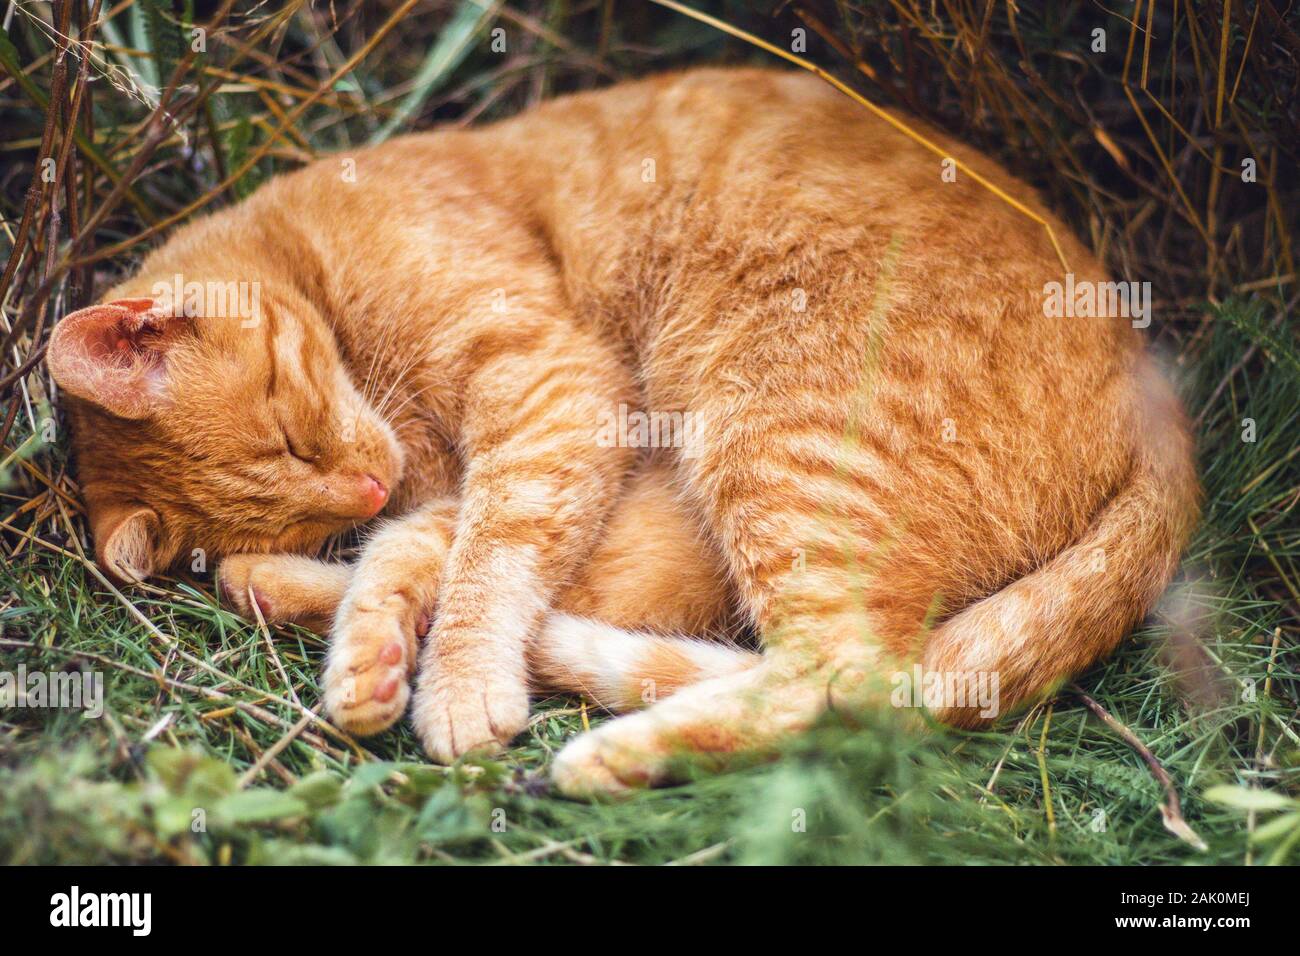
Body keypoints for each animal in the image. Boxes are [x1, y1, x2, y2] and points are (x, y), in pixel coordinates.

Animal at [45, 70, 1201, 796]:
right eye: (293, 491)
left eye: (291, 434)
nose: (361, 493)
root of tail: (1153, 382)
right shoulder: (527, 445)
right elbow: (430, 548)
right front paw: (373, 651)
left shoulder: (554, 390)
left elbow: (487, 559)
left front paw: (454, 683)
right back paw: (295, 601)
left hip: (769, 437)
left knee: (854, 680)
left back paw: (609, 755)